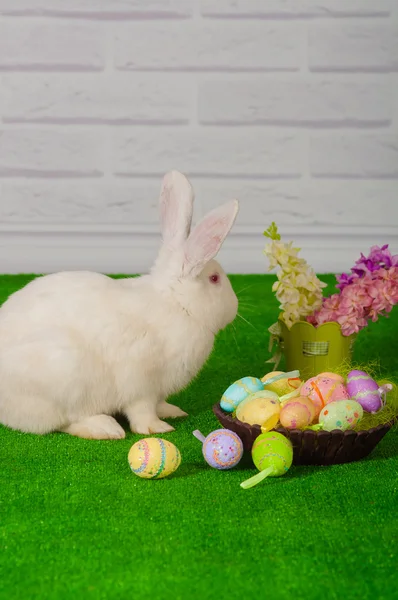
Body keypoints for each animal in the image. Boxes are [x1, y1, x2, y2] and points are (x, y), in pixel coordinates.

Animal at [0, 171, 238, 438]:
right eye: (215, 279)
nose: (235, 305)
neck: (176, 302)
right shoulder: (140, 384)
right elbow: (142, 410)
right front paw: (157, 428)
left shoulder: (156, 390)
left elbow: (159, 403)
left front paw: (172, 411)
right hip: (66, 376)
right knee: (66, 421)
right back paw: (105, 428)